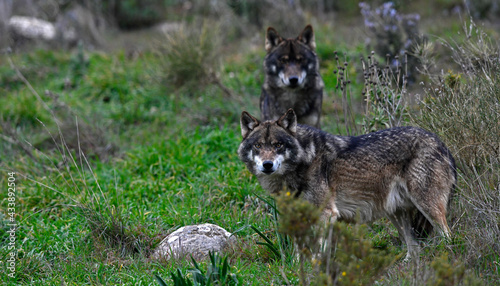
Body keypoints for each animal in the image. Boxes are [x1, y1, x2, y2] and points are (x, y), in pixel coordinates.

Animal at [238, 109, 458, 260]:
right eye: (258, 146)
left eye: (278, 145)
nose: (267, 164)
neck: (304, 160)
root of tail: (442, 144)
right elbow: (300, 249)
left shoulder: (326, 214)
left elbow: (318, 250)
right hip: (396, 213)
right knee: (415, 248)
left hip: (427, 207)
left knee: (447, 236)